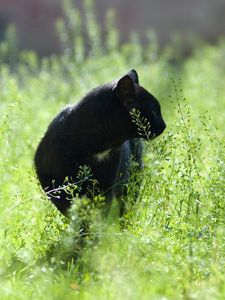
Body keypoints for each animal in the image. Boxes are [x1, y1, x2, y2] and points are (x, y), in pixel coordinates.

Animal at [34, 69, 166, 216]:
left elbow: (99, 212)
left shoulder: (106, 186)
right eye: (154, 112)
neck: (98, 148)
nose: (164, 125)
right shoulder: (55, 185)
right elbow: (71, 209)